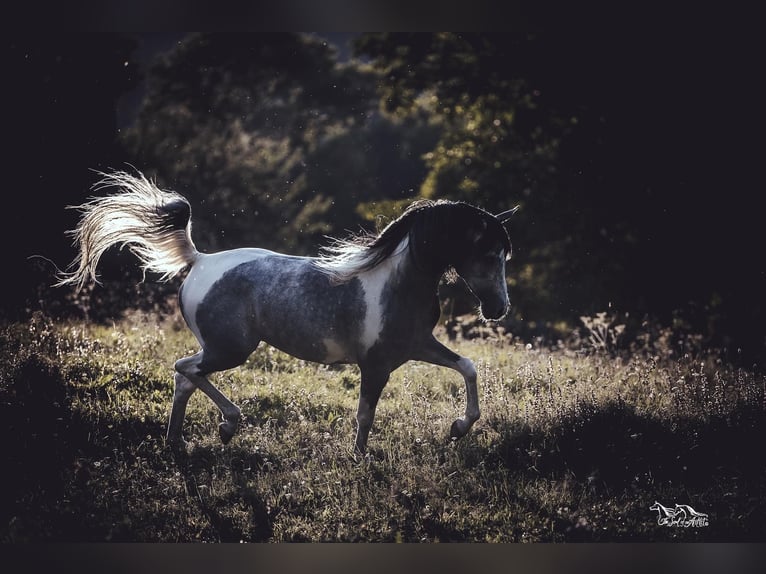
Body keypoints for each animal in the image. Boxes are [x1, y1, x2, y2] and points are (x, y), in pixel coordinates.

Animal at [57, 170, 518, 455]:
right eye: (488, 254)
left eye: (503, 255)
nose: (498, 309)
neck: (397, 282)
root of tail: (199, 260)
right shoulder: (375, 365)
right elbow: (365, 415)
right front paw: (359, 459)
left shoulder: (417, 347)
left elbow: (468, 367)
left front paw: (459, 427)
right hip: (231, 349)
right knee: (184, 368)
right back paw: (227, 425)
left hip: (222, 350)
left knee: (184, 378)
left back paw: (179, 442)